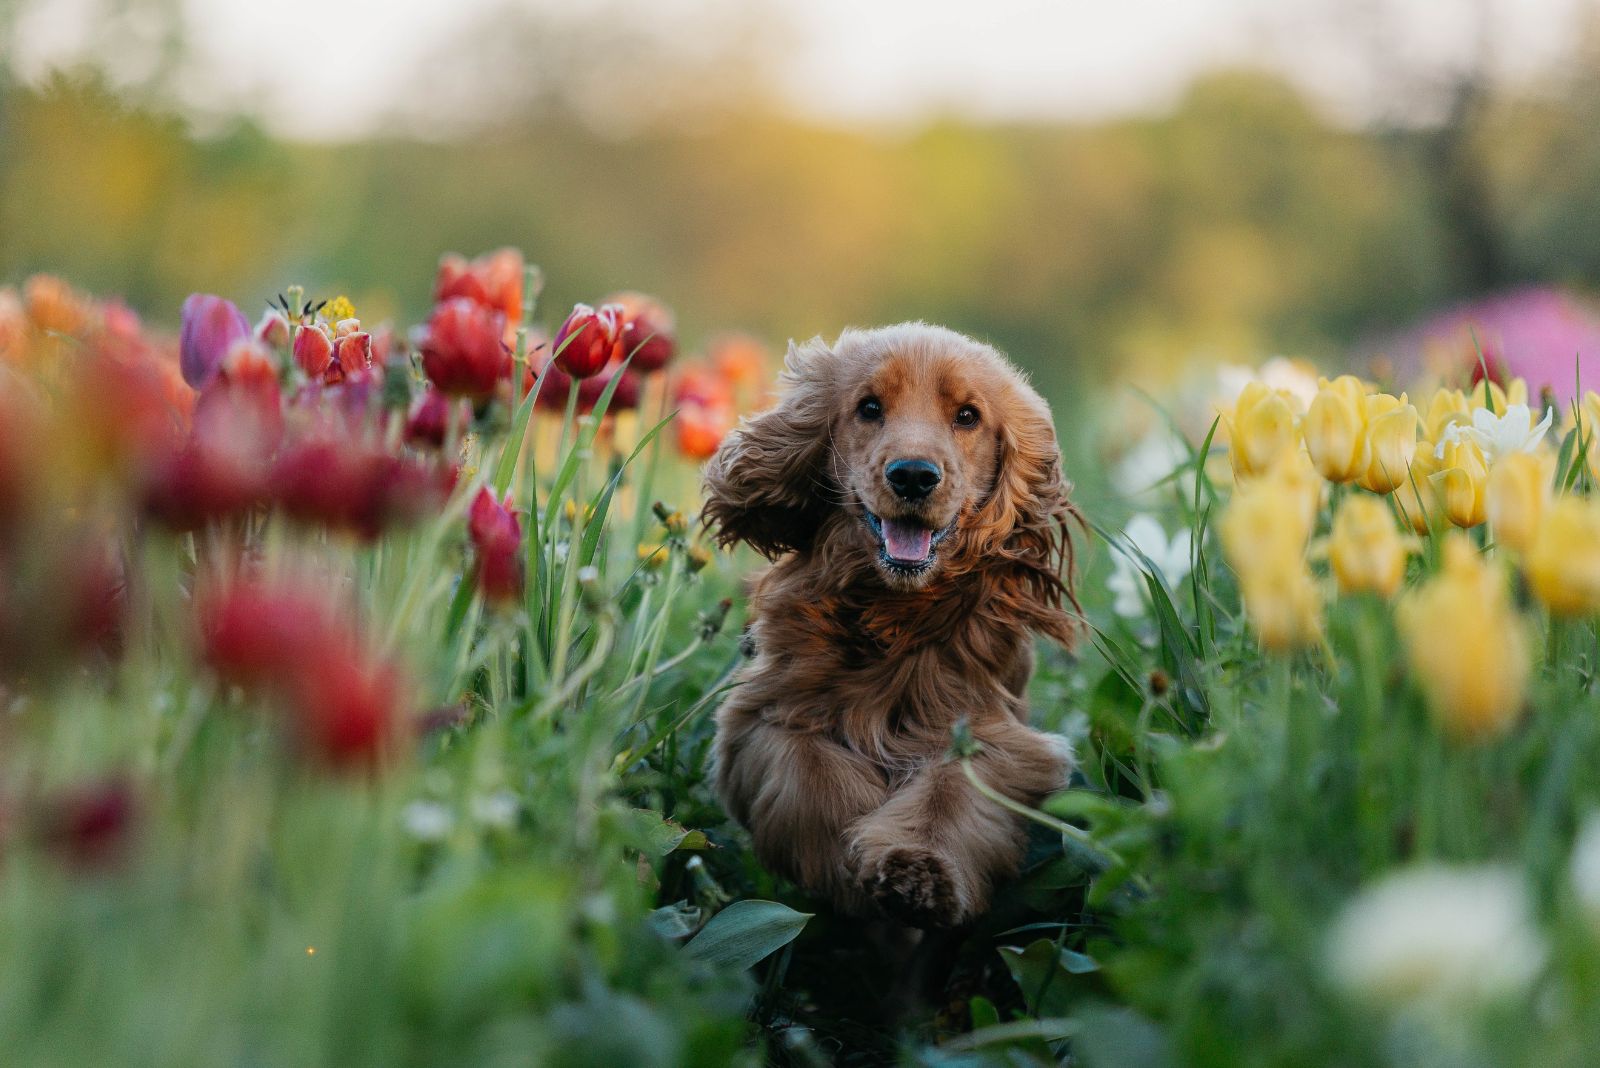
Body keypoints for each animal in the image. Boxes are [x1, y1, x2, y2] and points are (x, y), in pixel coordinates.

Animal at [707, 322, 1081, 927]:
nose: (912, 476)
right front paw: (840, 865)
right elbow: (810, 772)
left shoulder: (987, 732)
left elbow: (949, 796)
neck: (891, 614)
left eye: (968, 416)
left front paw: (917, 872)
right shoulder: (762, 716)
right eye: (869, 407)